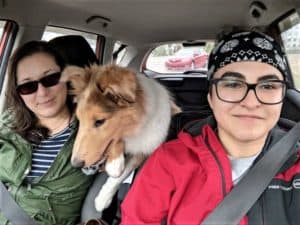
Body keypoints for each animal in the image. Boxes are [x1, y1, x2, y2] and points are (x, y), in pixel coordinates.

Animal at [59, 64, 179, 212]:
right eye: (79, 119)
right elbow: (116, 142)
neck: (135, 128)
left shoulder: (144, 149)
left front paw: (103, 197)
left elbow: (121, 174)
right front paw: (115, 163)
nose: (75, 164)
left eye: (99, 121)